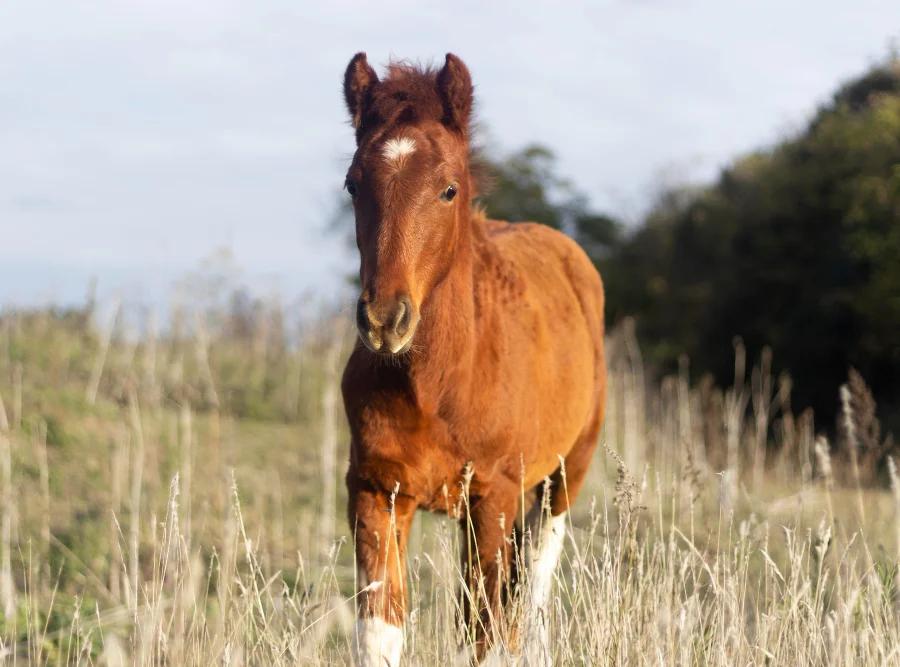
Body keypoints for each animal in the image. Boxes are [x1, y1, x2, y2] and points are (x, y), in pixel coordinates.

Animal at [340, 52, 607, 666]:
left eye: (448, 189)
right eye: (352, 185)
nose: (384, 320)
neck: (440, 382)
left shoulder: (496, 498)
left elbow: (485, 638)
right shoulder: (375, 490)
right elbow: (381, 630)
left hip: (562, 479)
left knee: (532, 591)